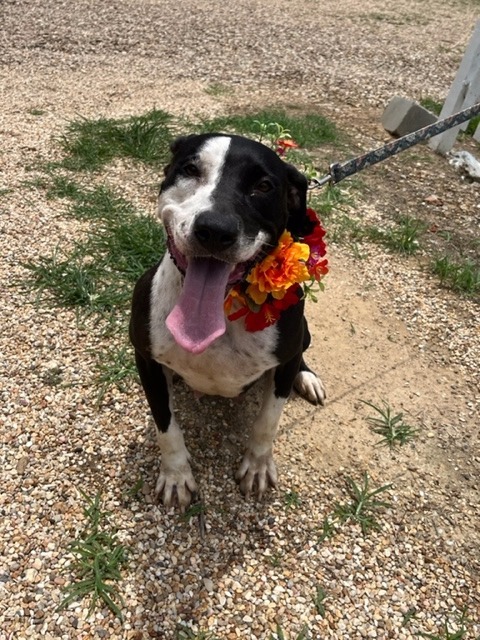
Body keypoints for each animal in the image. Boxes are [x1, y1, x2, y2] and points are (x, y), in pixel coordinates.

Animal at [129, 135, 326, 510]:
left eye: (264, 186)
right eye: (191, 169)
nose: (214, 230)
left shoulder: (283, 360)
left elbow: (268, 420)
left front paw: (258, 466)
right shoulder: (146, 359)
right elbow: (166, 425)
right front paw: (176, 475)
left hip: (303, 334)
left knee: (301, 356)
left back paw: (306, 377)